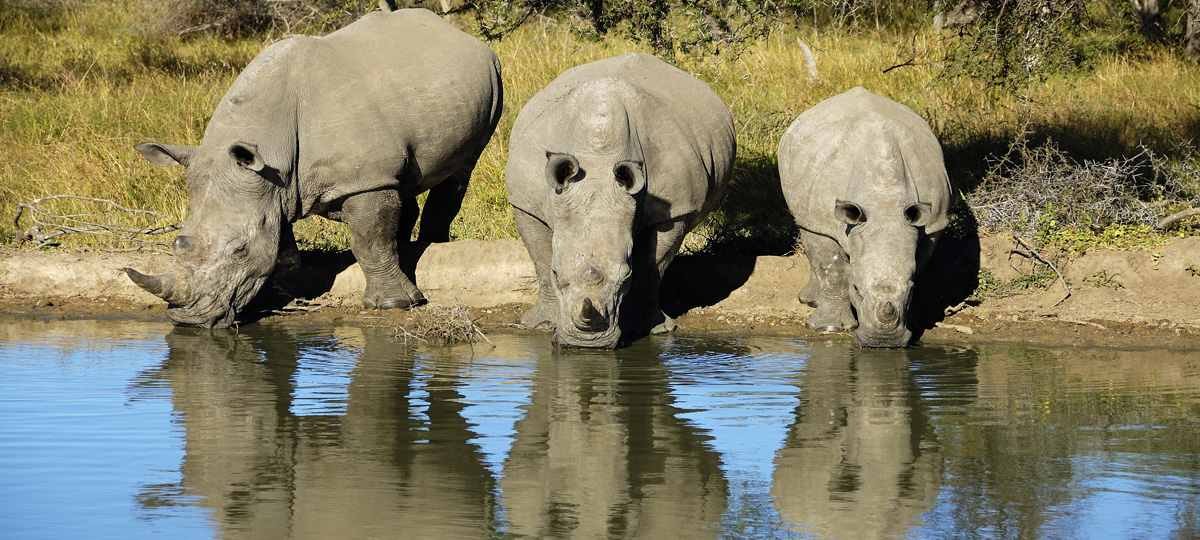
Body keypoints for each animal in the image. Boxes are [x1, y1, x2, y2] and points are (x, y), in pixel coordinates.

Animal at [129, 9, 504, 328]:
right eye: (177, 243)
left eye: (240, 250)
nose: (187, 321)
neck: (269, 142)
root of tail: (459, 35)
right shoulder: (271, 187)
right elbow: (284, 249)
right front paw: (285, 299)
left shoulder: (360, 181)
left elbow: (369, 239)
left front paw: (393, 305)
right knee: (402, 182)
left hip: (493, 79)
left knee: (461, 170)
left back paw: (435, 245)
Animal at [504, 53, 729, 350]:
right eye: (556, 274)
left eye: (625, 278)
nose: (587, 344)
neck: (598, 162)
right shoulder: (526, 202)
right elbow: (540, 258)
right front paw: (540, 325)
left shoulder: (674, 210)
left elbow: (651, 267)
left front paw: (650, 329)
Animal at [777, 86, 955, 348]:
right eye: (857, 290)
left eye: (910, 292)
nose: (883, 342)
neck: (884, 201)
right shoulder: (824, 220)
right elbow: (833, 268)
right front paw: (827, 328)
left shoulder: (933, 226)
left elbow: (918, 266)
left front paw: (913, 324)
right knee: (807, 229)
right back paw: (810, 301)